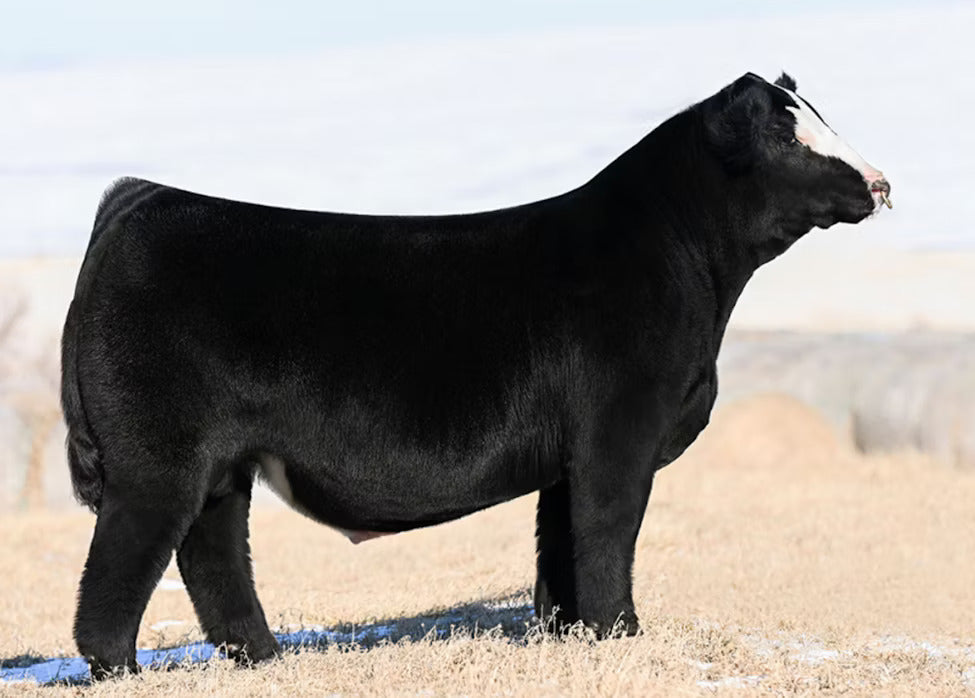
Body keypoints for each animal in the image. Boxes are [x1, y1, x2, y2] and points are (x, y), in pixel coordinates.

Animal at [61, 71, 890, 678]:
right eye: (787, 137)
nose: (879, 182)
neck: (684, 264)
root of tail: (142, 197)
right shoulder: (615, 439)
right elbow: (606, 535)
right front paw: (621, 635)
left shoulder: (568, 457)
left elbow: (558, 548)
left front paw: (566, 634)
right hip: (156, 459)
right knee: (121, 570)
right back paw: (125, 670)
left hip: (220, 466)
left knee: (213, 555)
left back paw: (264, 660)